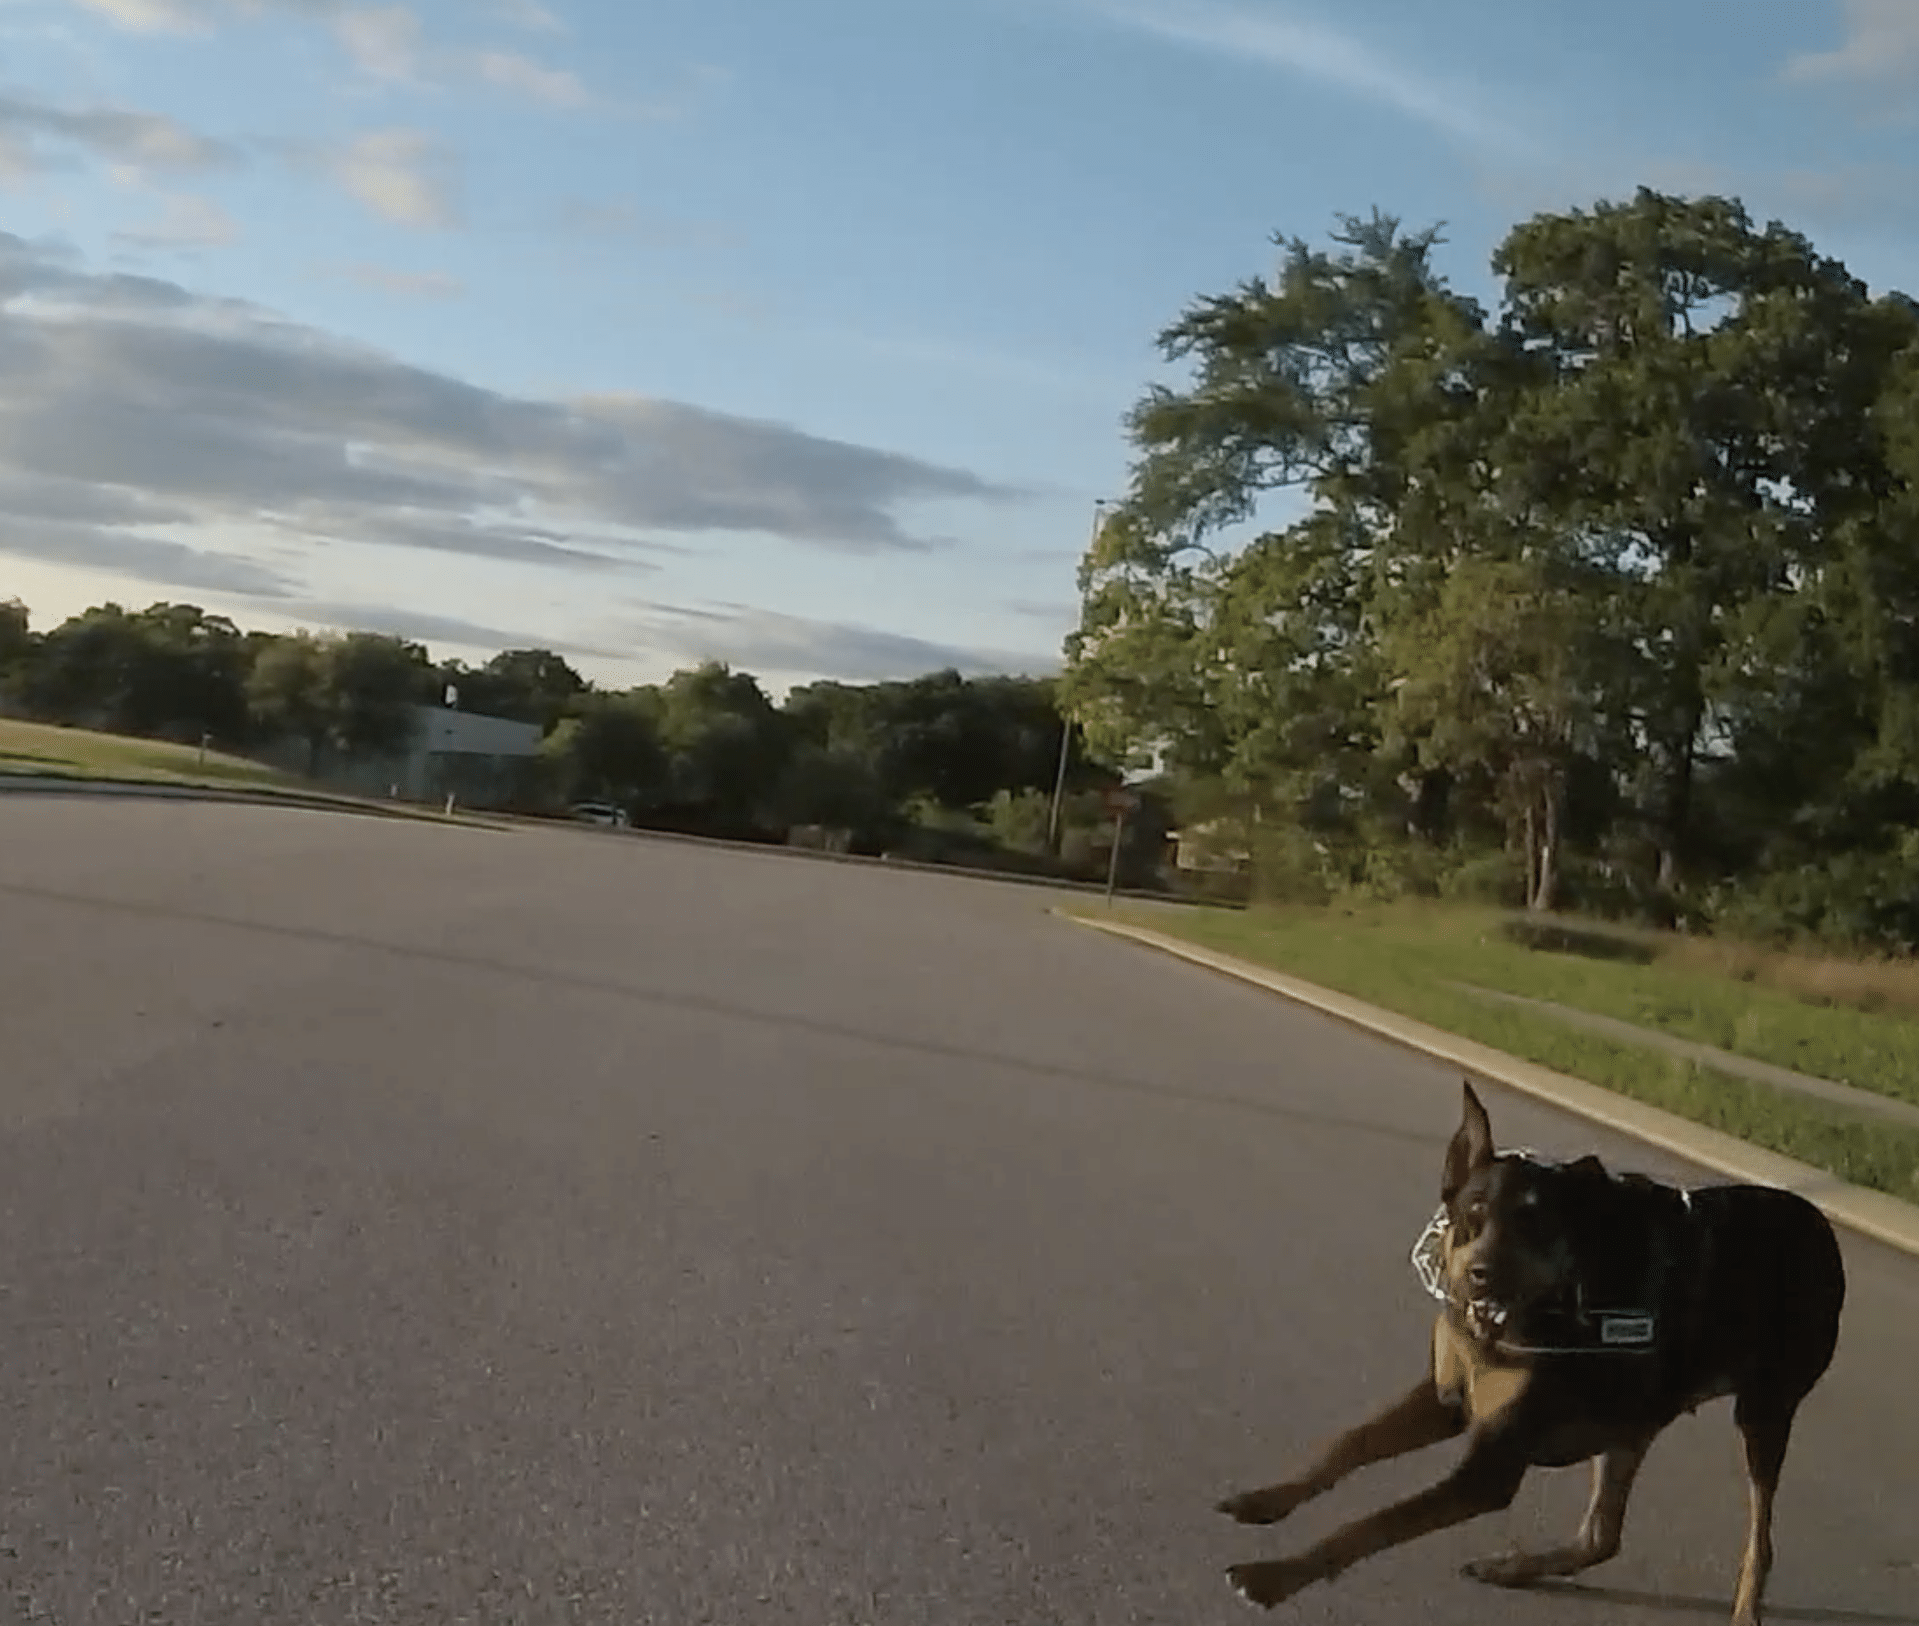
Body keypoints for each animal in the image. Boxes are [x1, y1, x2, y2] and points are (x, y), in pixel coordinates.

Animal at [1220, 1082, 1849, 1626]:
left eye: (1537, 1226)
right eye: (1472, 1214)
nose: (1479, 1275)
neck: (1508, 1324)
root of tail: (1819, 1224)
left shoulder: (1491, 1468)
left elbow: (1374, 1524)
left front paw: (1275, 1576)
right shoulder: (1447, 1398)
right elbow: (1351, 1441)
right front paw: (1268, 1499)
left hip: (1763, 1412)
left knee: (1761, 1535)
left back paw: (1744, 1606)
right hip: (1632, 1419)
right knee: (1602, 1536)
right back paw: (1514, 1568)